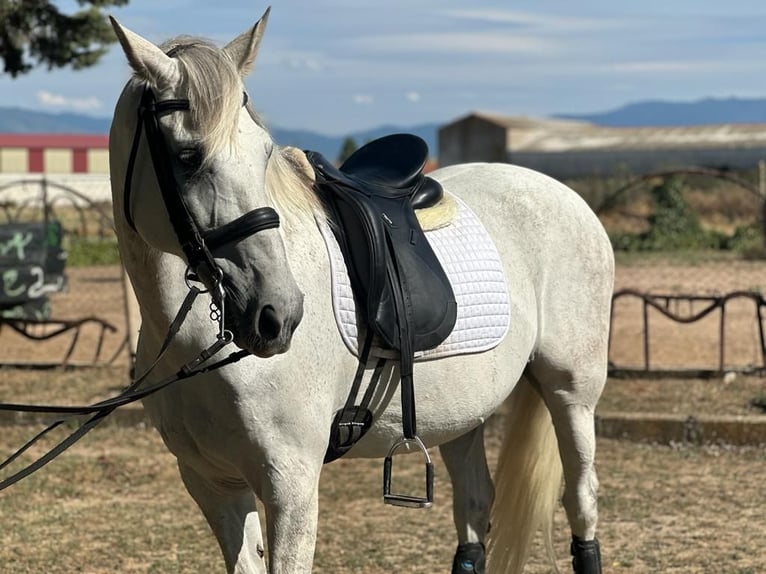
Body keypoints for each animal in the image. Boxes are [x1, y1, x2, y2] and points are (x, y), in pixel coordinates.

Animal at [108, 10, 616, 574]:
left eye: (264, 153)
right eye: (187, 156)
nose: (278, 314)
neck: (195, 348)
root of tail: (560, 191)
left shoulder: (291, 484)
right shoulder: (212, 484)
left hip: (571, 392)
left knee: (581, 499)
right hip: (465, 413)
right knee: (475, 505)